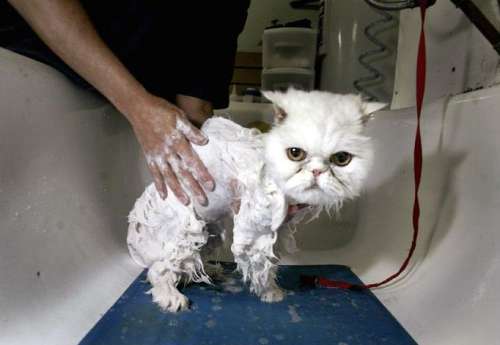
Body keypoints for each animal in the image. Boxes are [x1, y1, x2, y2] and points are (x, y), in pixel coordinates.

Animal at [126, 88, 382, 312]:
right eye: (296, 153)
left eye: (341, 158)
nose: (317, 171)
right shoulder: (254, 228)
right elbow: (261, 264)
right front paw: (271, 292)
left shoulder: (278, 225)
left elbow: (270, 259)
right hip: (187, 233)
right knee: (159, 270)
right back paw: (170, 296)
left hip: (211, 233)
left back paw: (209, 270)